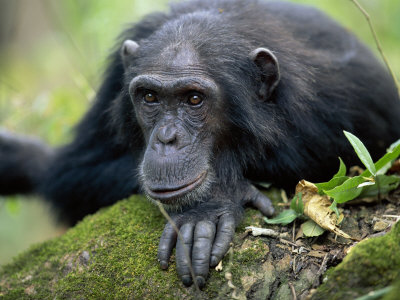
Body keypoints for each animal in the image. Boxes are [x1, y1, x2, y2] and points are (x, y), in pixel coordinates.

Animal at [0, 0, 400, 288]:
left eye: (194, 99)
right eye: (149, 97)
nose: (167, 138)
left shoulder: (335, 107)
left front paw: (211, 204)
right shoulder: (115, 80)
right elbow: (72, 177)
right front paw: (211, 202)